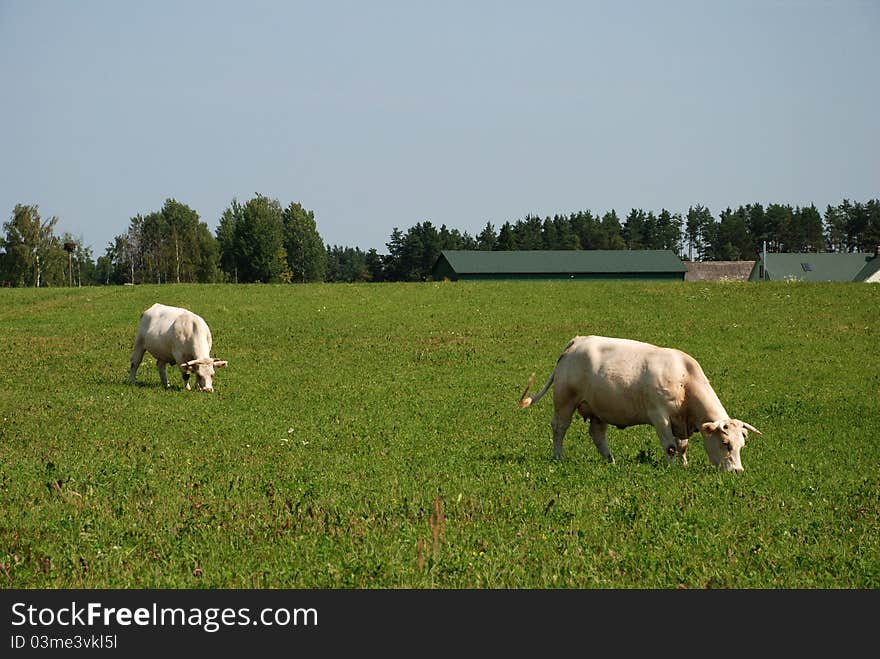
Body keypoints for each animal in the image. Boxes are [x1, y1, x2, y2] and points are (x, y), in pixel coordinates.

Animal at [520, 338, 760, 472]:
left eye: (741, 445)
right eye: (725, 443)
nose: (738, 471)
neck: (684, 378)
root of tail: (577, 341)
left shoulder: (679, 421)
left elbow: (682, 446)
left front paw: (684, 465)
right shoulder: (659, 416)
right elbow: (670, 446)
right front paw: (673, 468)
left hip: (599, 409)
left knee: (597, 434)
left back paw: (611, 461)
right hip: (565, 400)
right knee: (559, 428)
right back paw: (558, 456)